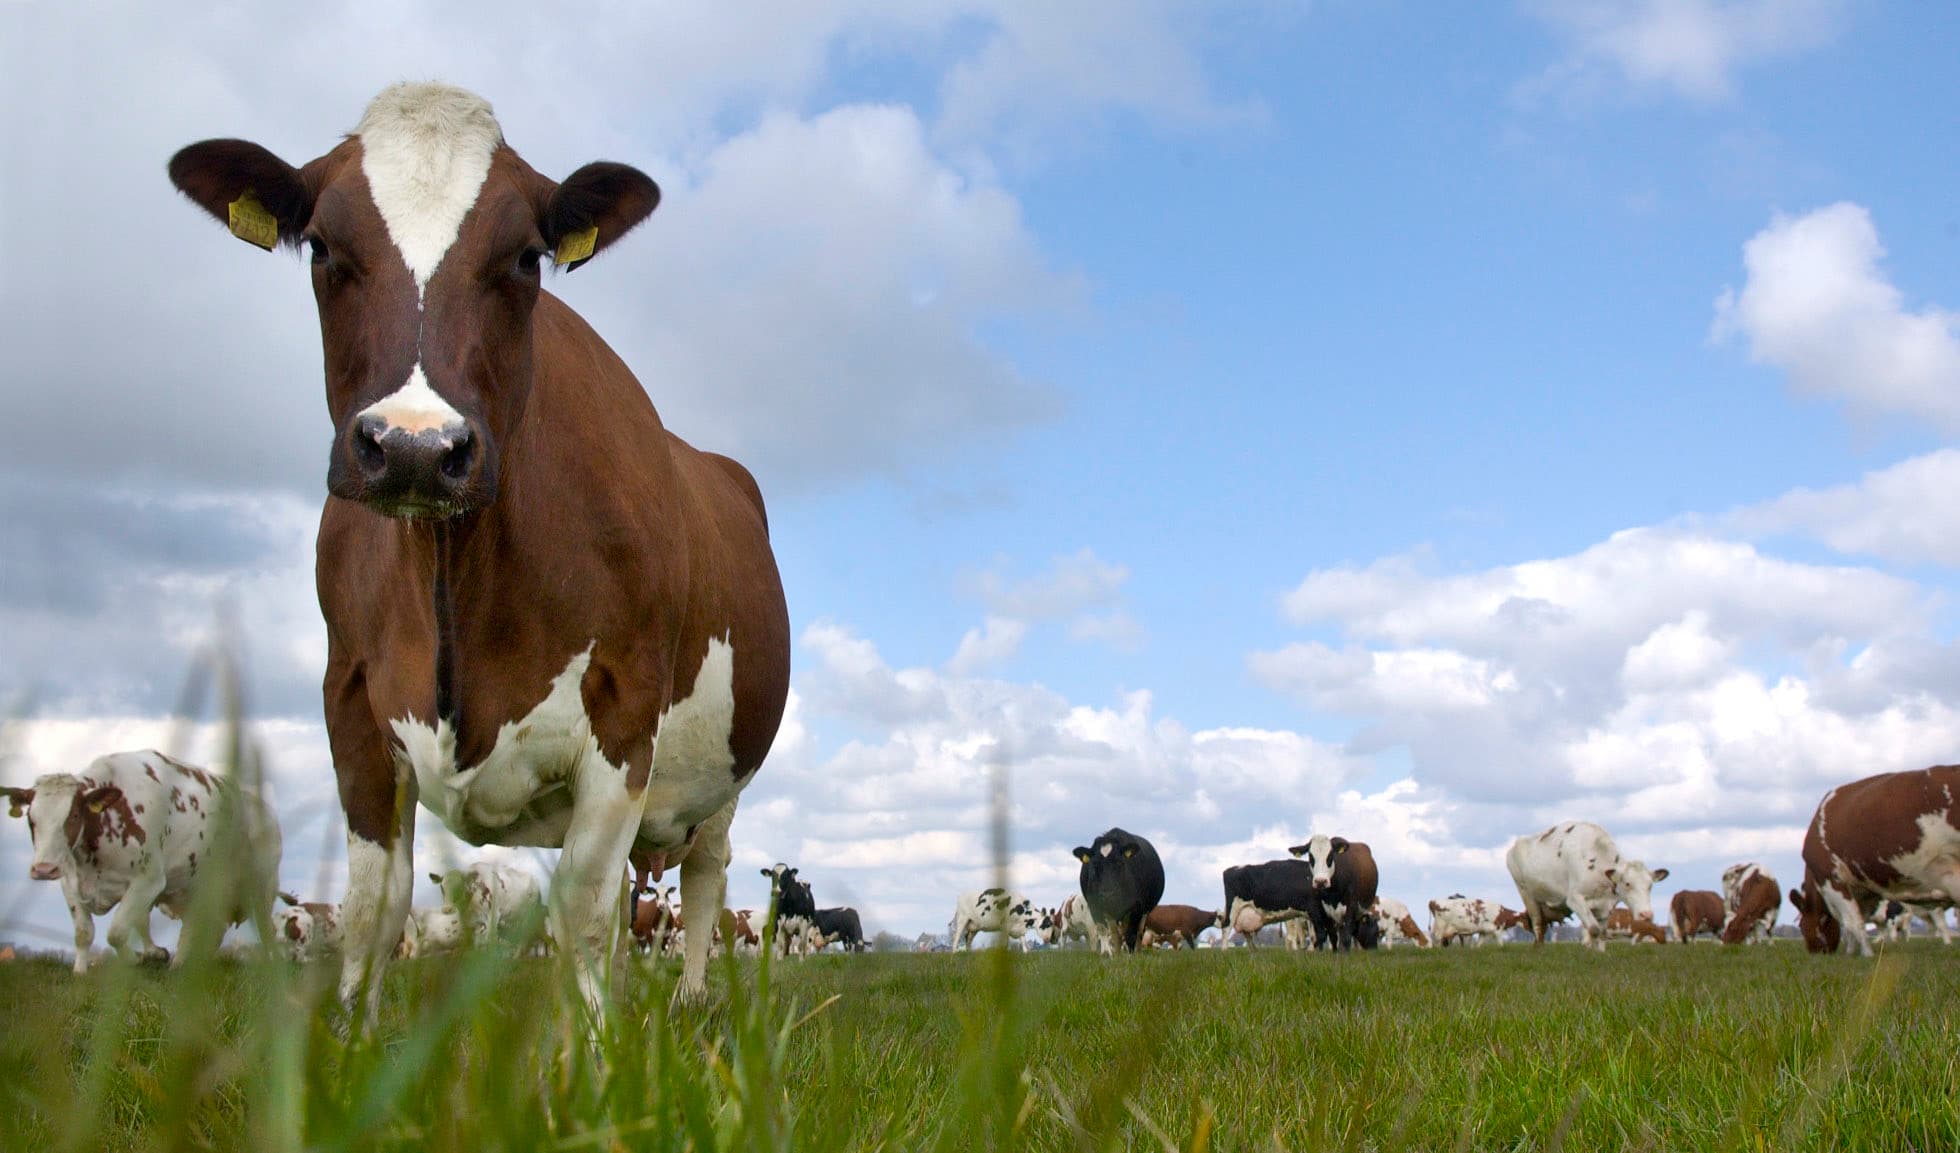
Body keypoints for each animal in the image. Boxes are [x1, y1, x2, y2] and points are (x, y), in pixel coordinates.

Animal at [3, 750, 282, 974]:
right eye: (31, 819)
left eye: (72, 816)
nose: (43, 869)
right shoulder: (70, 882)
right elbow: (84, 933)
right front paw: (80, 971)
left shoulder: (149, 881)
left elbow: (116, 932)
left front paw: (134, 959)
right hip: (199, 888)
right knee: (196, 928)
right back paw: (178, 964)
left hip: (262, 886)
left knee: (265, 928)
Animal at [169, 83, 792, 1018]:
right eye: (321, 245)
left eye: (527, 258)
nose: (416, 447)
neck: (456, 573)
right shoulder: (349, 696)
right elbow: (375, 906)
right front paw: (355, 1033)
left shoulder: (626, 707)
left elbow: (581, 907)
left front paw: (592, 1052)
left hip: (722, 775)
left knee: (705, 881)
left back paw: (684, 1002)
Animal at [1507, 822, 1667, 952]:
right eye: (1627, 883)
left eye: (1650, 885)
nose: (1646, 915)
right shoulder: (1575, 899)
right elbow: (1594, 930)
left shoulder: (1605, 907)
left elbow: (1602, 933)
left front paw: (1599, 953)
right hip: (1526, 893)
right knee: (1538, 924)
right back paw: (1540, 948)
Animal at [1790, 766, 1960, 956]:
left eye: (1803, 926)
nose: (1814, 953)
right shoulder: (1863, 891)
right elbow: (1854, 928)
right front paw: (1851, 953)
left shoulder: (1832, 880)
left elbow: (1853, 923)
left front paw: (1867, 955)